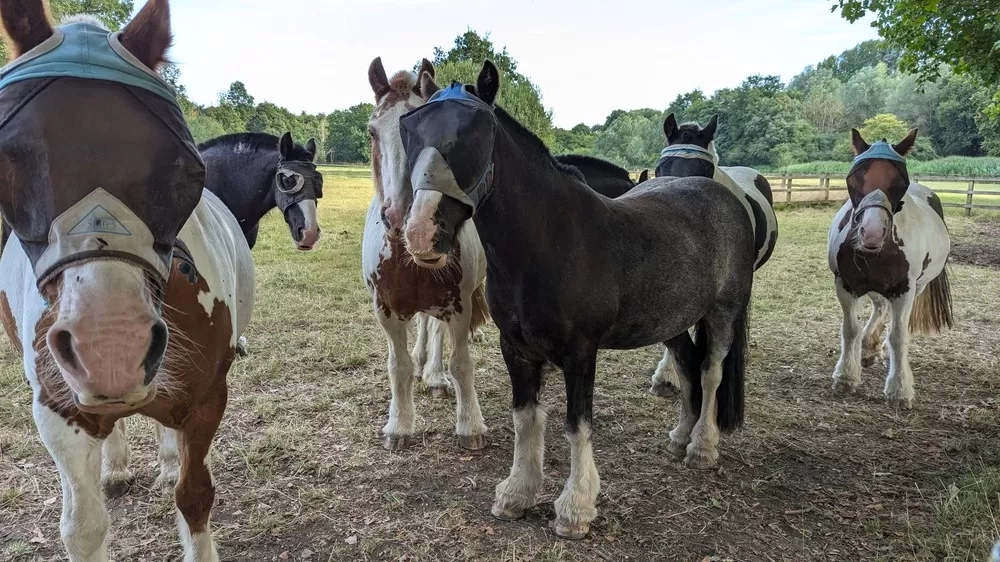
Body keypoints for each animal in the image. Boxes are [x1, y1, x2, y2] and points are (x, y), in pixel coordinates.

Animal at [0, 3, 255, 560]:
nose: (111, 348)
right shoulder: (57, 411)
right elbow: (83, 526)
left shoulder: (206, 400)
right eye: (7, 162)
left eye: (188, 169)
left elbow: (193, 494)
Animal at [363, 57, 490, 452]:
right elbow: (398, 366)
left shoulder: (459, 306)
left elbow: (461, 363)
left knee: (435, 330)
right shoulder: (386, 310)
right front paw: (399, 425)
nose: (399, 215)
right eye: (372, 132)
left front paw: (470, 425)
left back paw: (433, 374)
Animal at [398, 61, 756, 539]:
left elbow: (576, 426)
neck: (549, 244)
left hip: (722, 312)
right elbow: (526, 419)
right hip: (673, 319)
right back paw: (682, 435)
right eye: (410, 129)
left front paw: (575, 508)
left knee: (711, 372)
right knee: (687, 365)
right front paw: (517, 494)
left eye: (475, 134)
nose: (421, 233)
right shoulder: (516, 349)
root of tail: (724, 198)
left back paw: (702, 447)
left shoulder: (580, 352)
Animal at [828, 128, 953, 408]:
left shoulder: (904, 290)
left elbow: (898, 336)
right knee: (880, 308)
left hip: (918, 287)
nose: (872, 233)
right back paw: (869, 347)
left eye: (900, 182)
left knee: (891, 319)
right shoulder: (846, 286)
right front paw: (846, 376)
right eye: (853, 178)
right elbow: (850, 330)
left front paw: (899, 389)